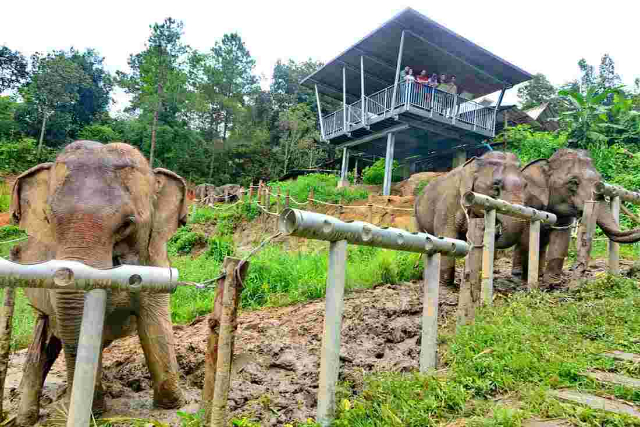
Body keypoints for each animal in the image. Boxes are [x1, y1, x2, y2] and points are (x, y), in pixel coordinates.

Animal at [9, 140, 186, 425]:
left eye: (126, 224)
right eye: (49, 220)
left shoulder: (156, 259)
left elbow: (155, 324)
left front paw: (172, 404)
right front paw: (94, 411)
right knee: (43, 342)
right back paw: (26, 418)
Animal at [414, 151, 528, 287]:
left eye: (526, 185)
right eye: (496, 185)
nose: (498, 229)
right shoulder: (448, 204)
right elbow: (447, 236)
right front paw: (445, 284)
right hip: (417, 216)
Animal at [511, 148, 640, 283]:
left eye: (600, 179)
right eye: (573, 182)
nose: (599, 187)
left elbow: (561, 239)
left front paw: (552, 282)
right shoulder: (530, 201)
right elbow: (526, 235)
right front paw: (525, 280)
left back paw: (538, 274)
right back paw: (517, 274)